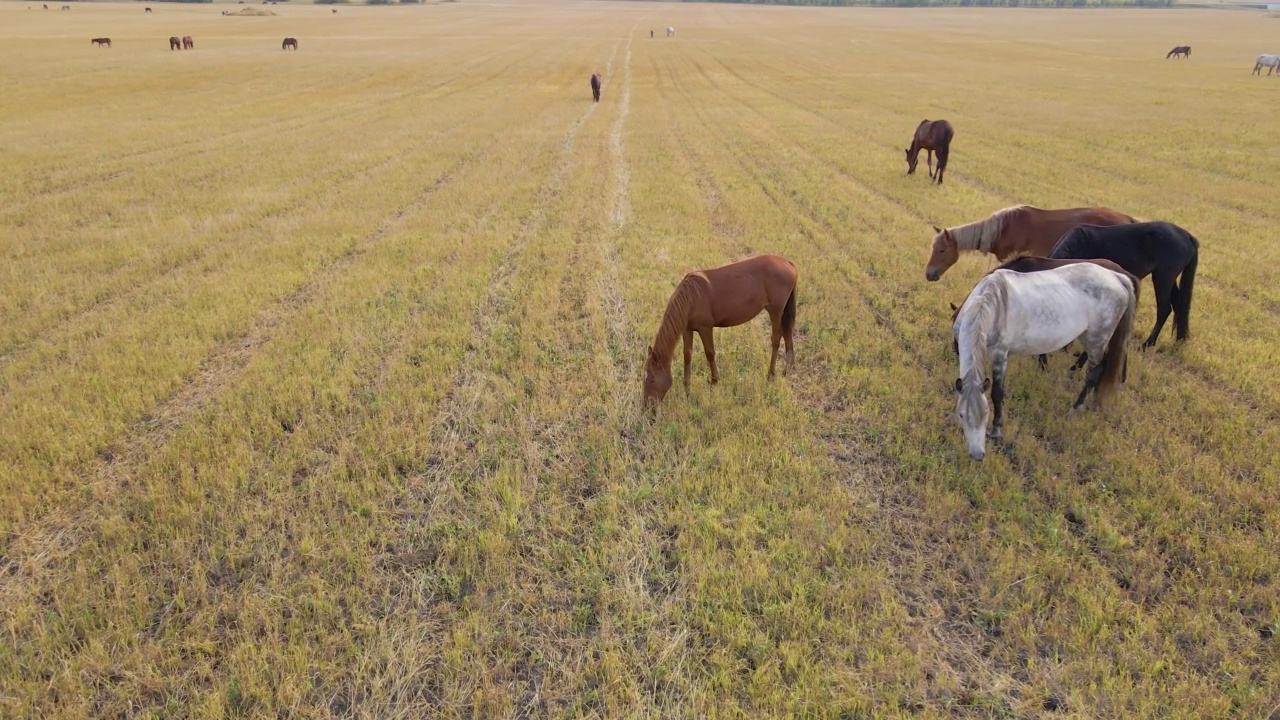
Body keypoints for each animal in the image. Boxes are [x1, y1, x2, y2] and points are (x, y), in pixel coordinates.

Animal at [640, 254, 798, 407]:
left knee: (776, 339)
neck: (691, 298)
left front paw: (714, 380)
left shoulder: (705, 328)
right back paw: (788, 368)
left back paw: (771, 374)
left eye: (651, 379)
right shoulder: (687, 329)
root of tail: (788, 262)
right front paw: (687, 387)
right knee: (787, 333)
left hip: (775, 310)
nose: (647, 406)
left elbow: (710, 353)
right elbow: (687, 355)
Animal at [952, 263, 1141, 458]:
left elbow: (997, 394)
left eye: (986, 413)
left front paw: (996, 432)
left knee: (1094, 373)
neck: (992, 304)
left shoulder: (1000, 355)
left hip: (1097, 340)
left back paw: (1075, 409)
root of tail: (1116, 276)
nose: (977, 454)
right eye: (961, 415)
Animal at [1049, 221, 1198, 351]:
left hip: (1163, 277)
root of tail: (1187, 236)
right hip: (1168, 279)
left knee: (1164, 309)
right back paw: (1179, 341)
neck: (1078, 245)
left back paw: (1147, 344)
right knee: (1179, 305)